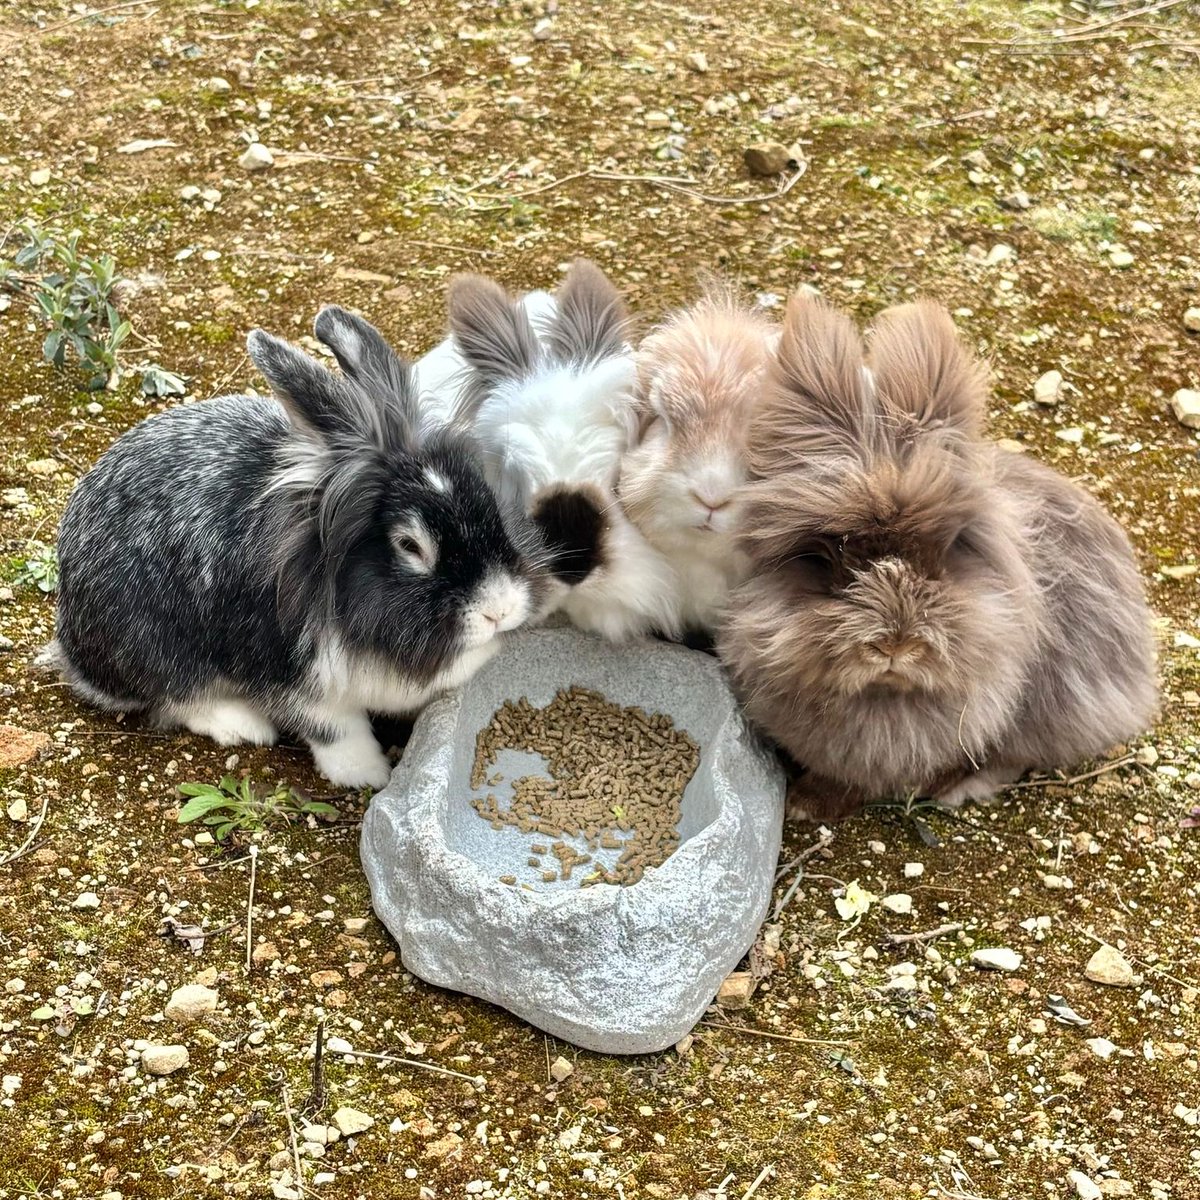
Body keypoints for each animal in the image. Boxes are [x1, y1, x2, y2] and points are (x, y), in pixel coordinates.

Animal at [44, 306, 550, 790]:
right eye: (409, 545)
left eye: (489, 503)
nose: (501, 609)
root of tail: (71, 642)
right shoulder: (295, 677)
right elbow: (336, 729)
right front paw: (368, 774)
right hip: (155, 651)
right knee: (175, 697)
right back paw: (242, 724)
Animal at [717, 293, 1158, 820]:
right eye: (832, 557)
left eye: (945, 551)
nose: (895, 645)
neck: (883, 695)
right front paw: (805, 803)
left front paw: (810, 805)